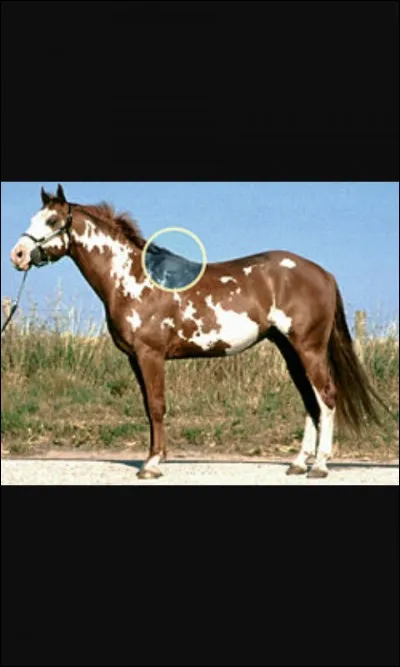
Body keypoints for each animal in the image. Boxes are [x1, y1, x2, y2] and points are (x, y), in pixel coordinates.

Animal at [10, 184, 385, 479]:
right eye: (32, 219)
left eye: (52, 221)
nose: (18, 255)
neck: (132, 278)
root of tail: (323, 274)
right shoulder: (135, 359)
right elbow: (148, 406)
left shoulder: (150, 355)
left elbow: (157, 405)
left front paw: (152, 464)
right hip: (290, 351)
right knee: (310, 401)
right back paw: (297, 463)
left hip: (309, 348)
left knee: (327, 396)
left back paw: (320, 466)